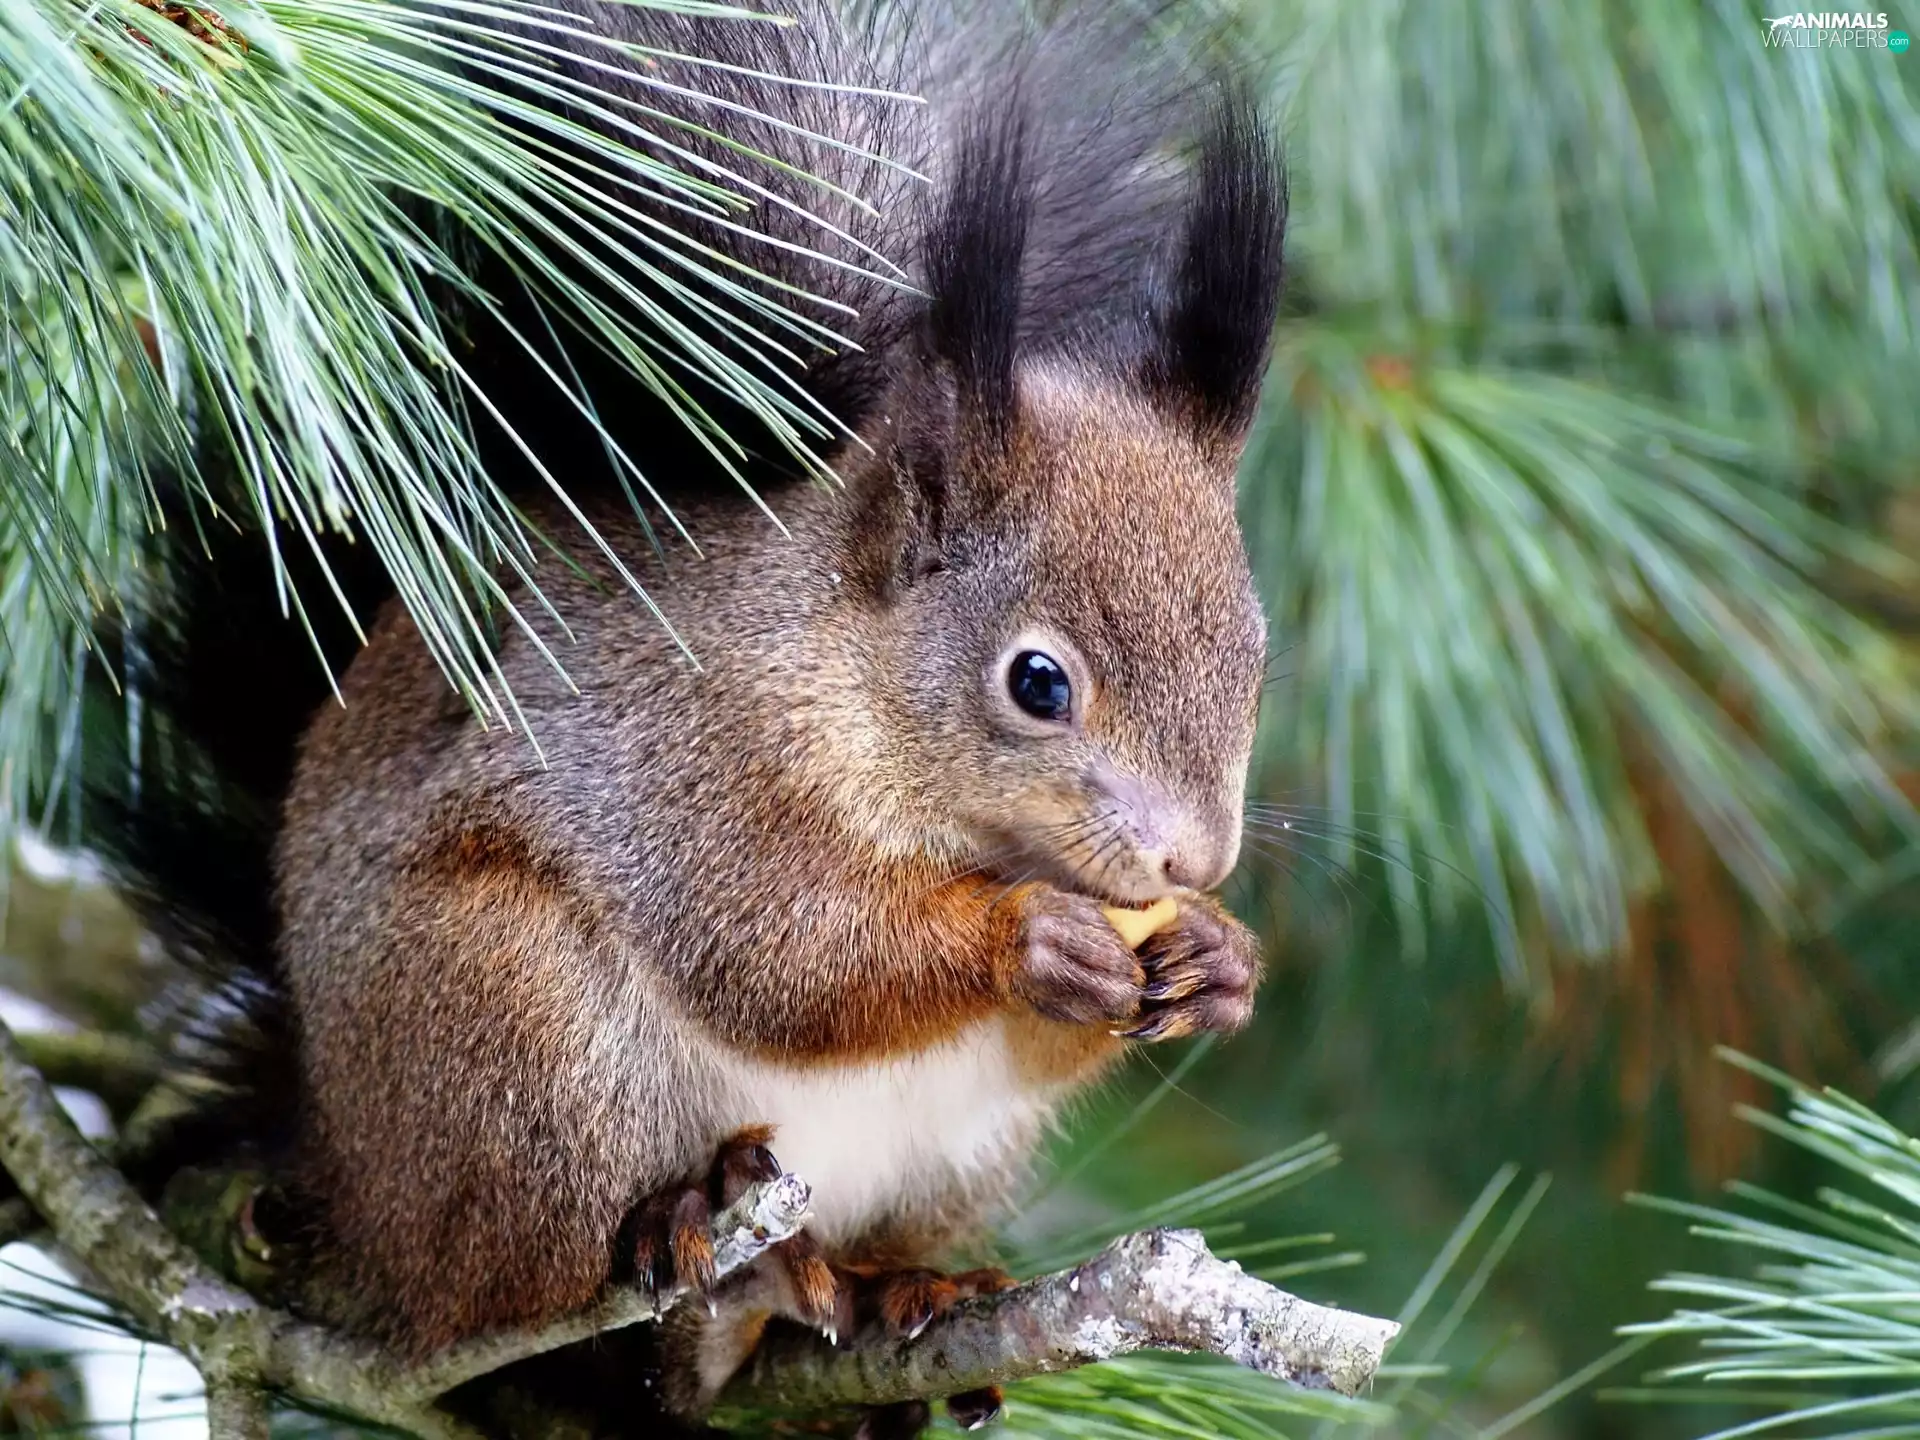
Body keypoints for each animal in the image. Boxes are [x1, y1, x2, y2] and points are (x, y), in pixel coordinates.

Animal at [94, 0, 1286, 1434]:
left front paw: (1219, 959)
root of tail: (339, 1165)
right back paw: (692, 1267)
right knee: (521, 1290)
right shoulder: (690, 761)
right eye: (1038, 682)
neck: (842, 672)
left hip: (956, 1155)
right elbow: (779, 954)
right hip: (510, 1026)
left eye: (1257, 659)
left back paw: (899, 1290)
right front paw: (1027, 937)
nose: (1193, 859)